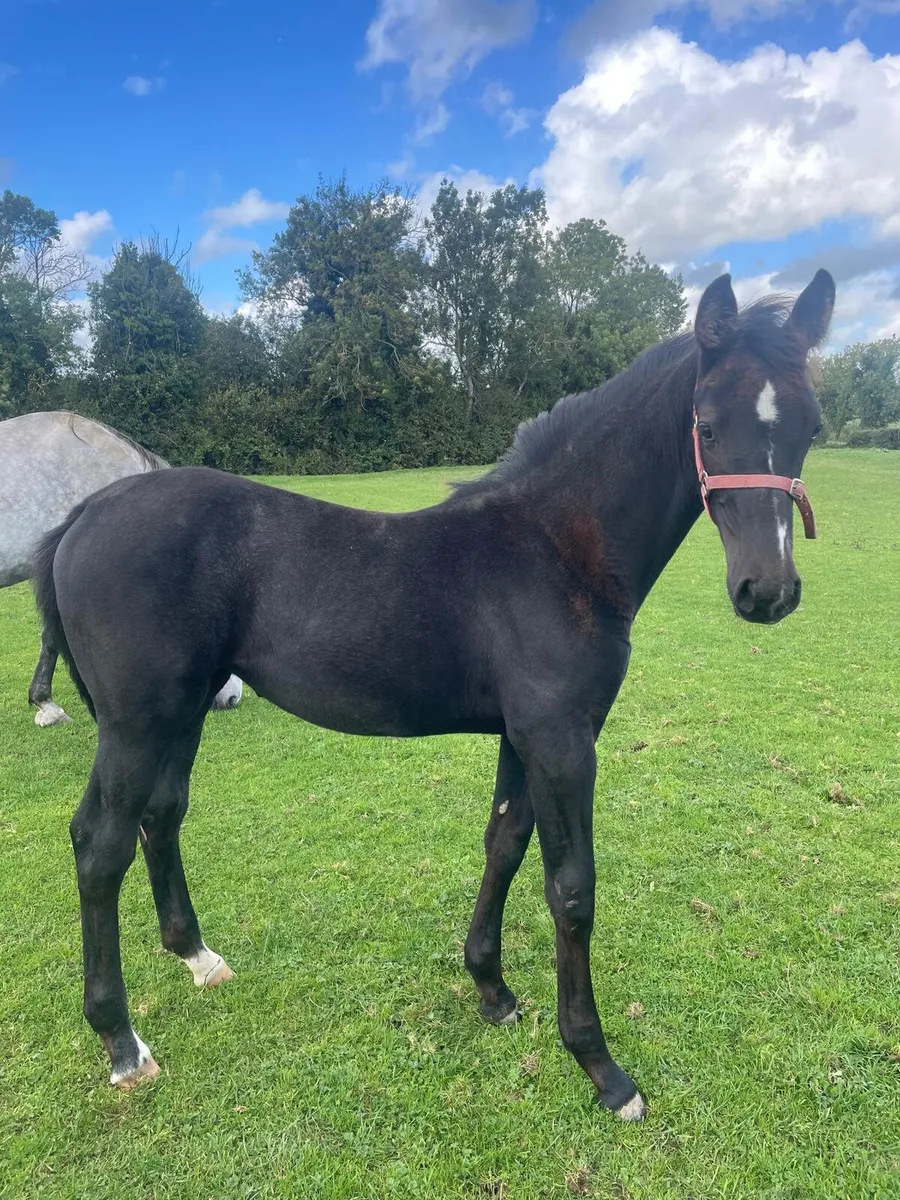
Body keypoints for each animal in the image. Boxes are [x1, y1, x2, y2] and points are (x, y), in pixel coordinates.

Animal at [34, 270, 835, 1119]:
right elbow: (572, 889)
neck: (558, 549)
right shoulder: (562, 741)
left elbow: (505, 843)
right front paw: (600, 1066)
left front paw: (492, 989)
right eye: (707, 426)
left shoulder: (524, 735)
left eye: (812, 425)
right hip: (135, 723)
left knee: (161, 815)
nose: (767, 591)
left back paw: (198, 958)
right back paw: (122, 1042)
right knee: (99, 846)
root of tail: (83, 512)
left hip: (181, 712)